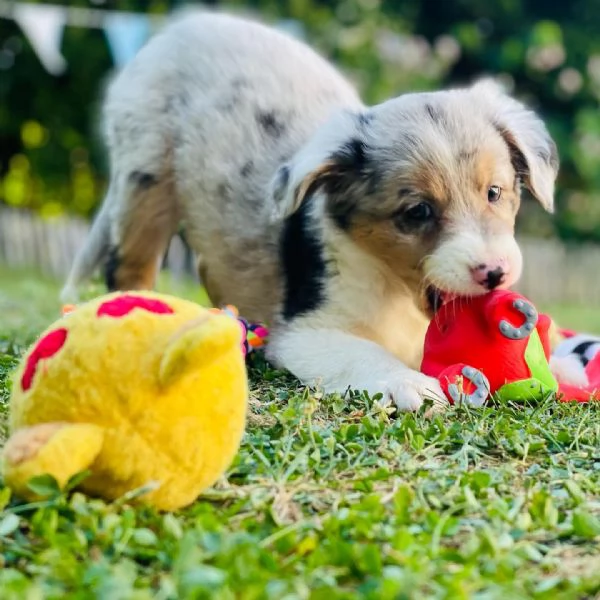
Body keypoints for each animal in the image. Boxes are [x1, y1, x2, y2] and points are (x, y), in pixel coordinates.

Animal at [61, 10, 556, 412]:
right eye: (417, 212)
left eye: (494, 193)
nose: (494, 273)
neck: (392, 288)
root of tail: (184, 25)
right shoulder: (305, 330)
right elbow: (362, 352)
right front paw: (409, 384)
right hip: (145, 175)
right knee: (128, 266)